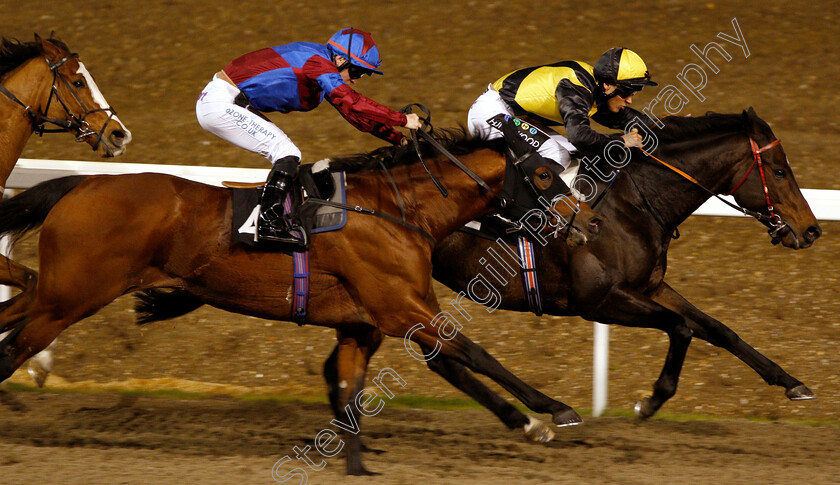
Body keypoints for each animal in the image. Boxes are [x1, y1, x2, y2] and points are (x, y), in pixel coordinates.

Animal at [0, 129, 604, 472]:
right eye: (545, 173)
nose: (590, 222)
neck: (398, 211)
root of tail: (81, 184)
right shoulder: (401, 309)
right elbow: (475, 354)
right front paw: (550, 413)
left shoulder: (364, 324)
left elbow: (353, 391)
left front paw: (356, 462)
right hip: (69, 298)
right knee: (11, 351)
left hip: (54, 291)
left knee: (12, 315)